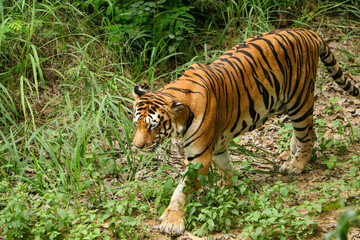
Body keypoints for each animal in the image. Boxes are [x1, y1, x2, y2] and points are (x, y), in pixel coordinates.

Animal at [132, 27, 360, 234]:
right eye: (136, 124)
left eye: (153, 126)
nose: (137, 146)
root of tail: (306, 31)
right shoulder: (217, 144)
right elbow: (225, 165)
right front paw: (227, 186)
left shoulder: (199, 157)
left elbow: (182, 189)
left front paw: (172, 221)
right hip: (282, 102)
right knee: (309, 132)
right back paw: (293, 150)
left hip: (299, 100)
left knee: (308, 134)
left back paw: (296, 165)